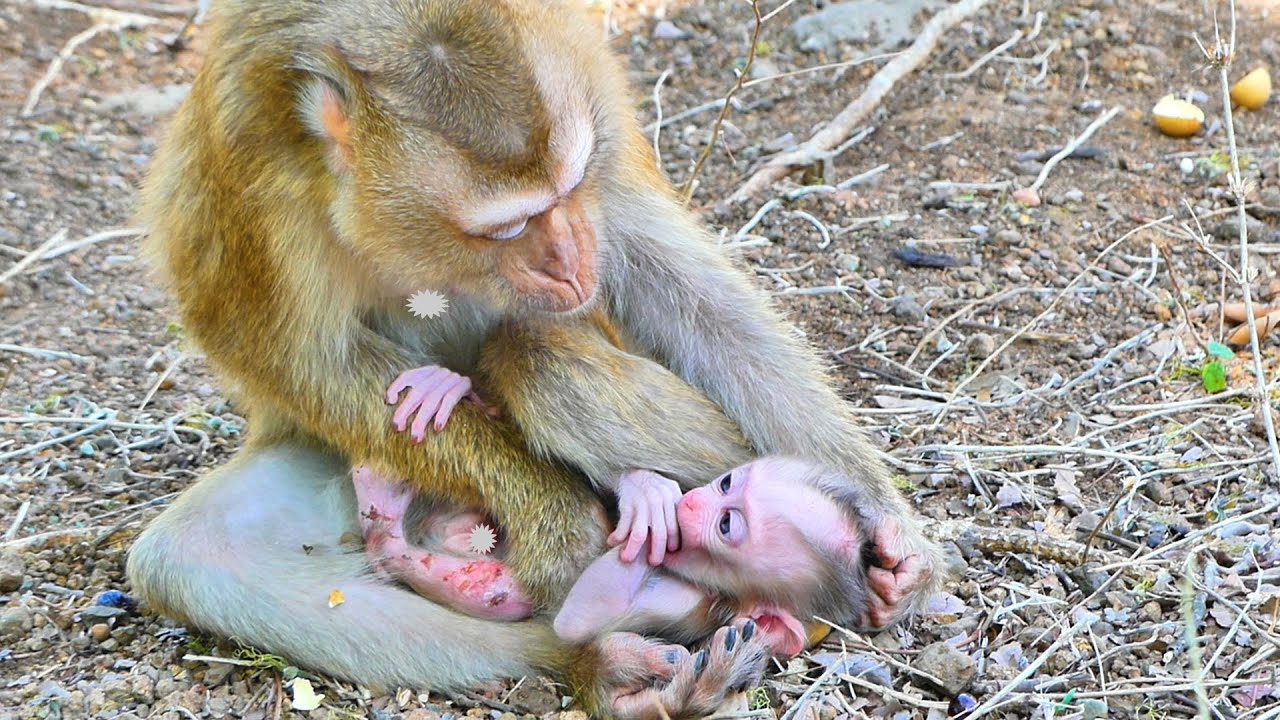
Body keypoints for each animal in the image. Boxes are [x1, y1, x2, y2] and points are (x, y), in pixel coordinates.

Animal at [127, 0, 942, 715]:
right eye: (506, 227)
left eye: (571, 185)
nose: (571, 263)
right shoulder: (247, 165)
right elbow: (293, 357)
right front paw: (557, 518)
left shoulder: (584, 72)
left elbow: (657, 262)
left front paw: (886, 520)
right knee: (190, 559)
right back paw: (592, 661)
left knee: (539, 352)